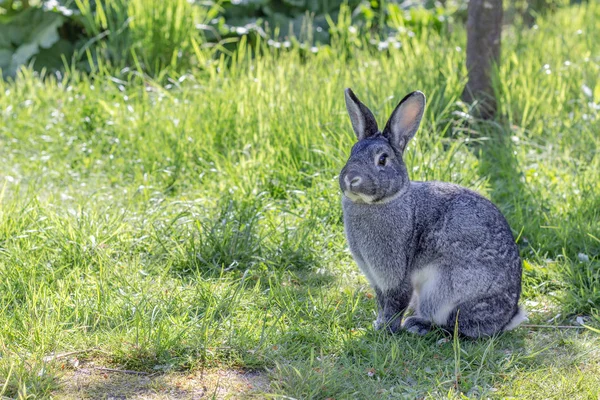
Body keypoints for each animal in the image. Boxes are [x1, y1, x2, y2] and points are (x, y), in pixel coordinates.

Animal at [340, 90, 528, 338]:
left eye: (382, 159)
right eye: (352, 152)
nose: (350, 178)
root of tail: (508, 317)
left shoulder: (396, 274)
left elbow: (396, 303)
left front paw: (387, 330)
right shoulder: (375, 278)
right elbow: (382, 302)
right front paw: (378, 324)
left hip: (445, 290)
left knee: (457, 326)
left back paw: (419, 325)